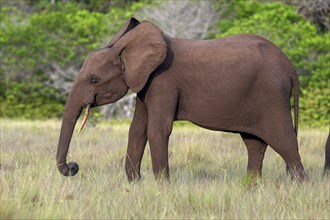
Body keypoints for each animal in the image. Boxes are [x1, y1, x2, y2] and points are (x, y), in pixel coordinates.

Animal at [56, 17, 306, 181]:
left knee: (284, 142)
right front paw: (135, 185)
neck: (126, 49)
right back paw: (249, 190)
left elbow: (157, 129)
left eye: (94, 80)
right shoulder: (146, 84)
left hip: (272, 97)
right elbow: (137, 130)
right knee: (254, 144)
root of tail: (290, 66)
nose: (73, 166)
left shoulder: (163, 81)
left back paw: (298, 188)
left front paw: (161, 187)